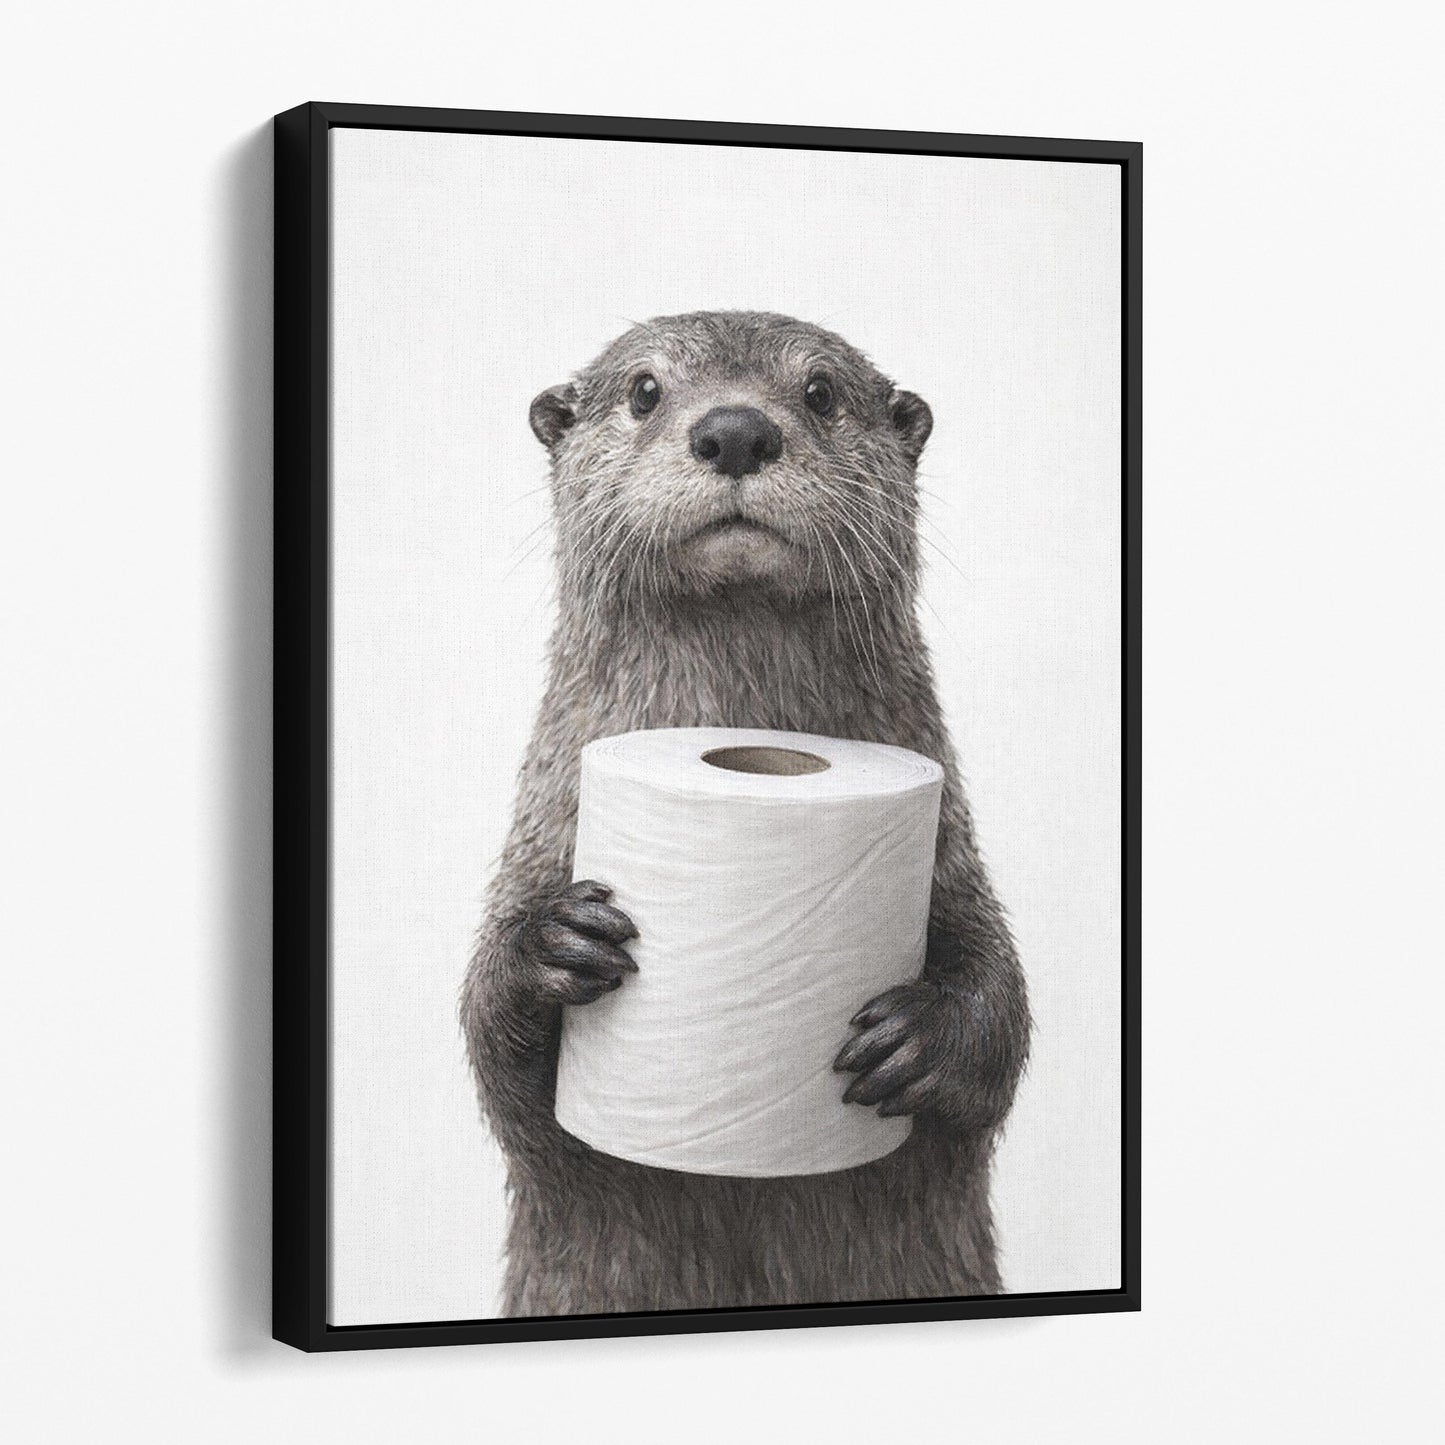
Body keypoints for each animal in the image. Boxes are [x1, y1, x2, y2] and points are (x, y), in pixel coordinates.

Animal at [461, 311, 1029, 1316]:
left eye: (820, 392)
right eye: (645, 390)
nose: (734, 430)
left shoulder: (950, 851)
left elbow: (1001, 1002)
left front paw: (920, 1038)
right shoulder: (539, 834)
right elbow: (498, 1059)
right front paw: (552, 944)